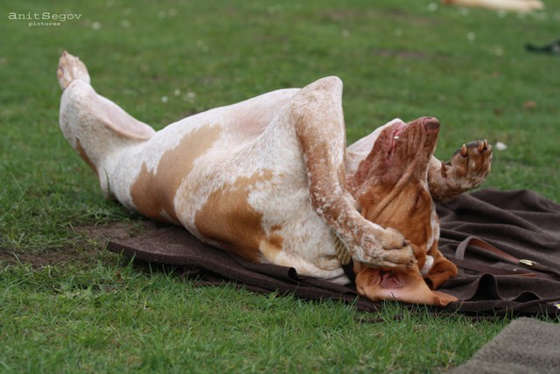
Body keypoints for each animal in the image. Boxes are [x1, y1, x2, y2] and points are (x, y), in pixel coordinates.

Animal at [57, 51, 492, 306]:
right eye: (419, 198)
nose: (433, 126)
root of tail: (110, 168)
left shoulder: (315, 105)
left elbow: (326, 193)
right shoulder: (325, 117)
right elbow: (329, 188)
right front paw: (460, 172)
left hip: (92, 124)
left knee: (76, 94)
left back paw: (70, 70)